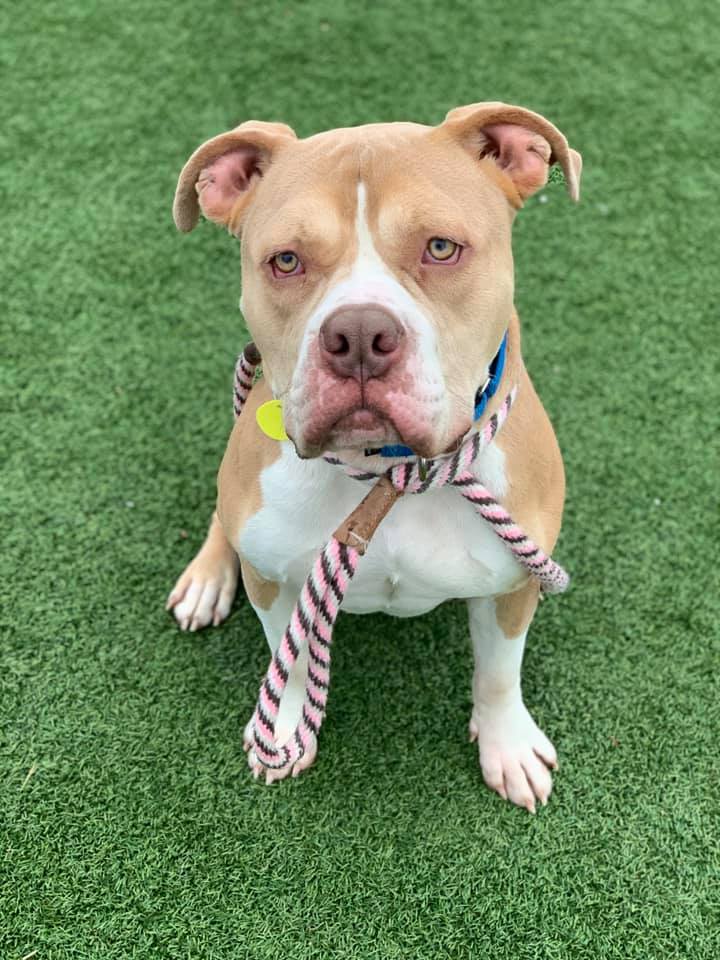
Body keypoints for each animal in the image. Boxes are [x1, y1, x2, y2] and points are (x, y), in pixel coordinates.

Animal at [170, 103, 584, 808]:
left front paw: (507, 744)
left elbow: (500, 671)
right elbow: (291, 658)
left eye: (440, 248)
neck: (387, 472)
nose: (359, 335)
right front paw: (286, 732)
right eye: (286, 260)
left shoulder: (517, 579)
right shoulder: (276, 581)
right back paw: (206, 576)